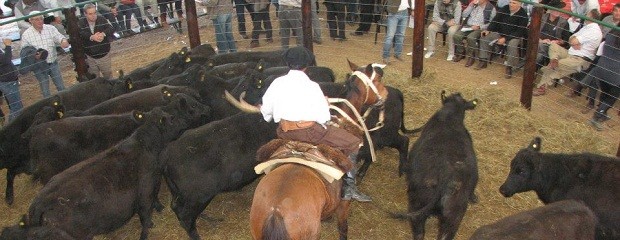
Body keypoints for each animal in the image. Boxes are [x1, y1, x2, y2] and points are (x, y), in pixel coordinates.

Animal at [1, 108, 191, 240]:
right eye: (171, 118)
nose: (184, 122)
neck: (145, 146)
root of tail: (38, 204)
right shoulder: (145, 192)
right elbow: (146, 216)